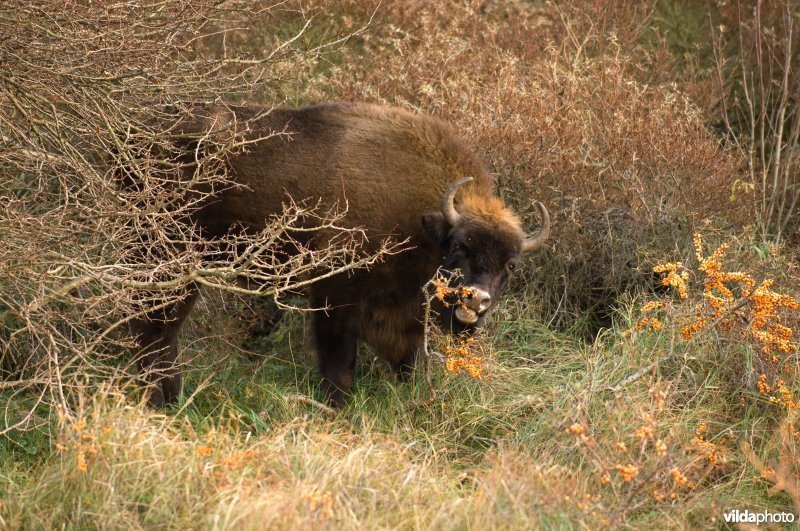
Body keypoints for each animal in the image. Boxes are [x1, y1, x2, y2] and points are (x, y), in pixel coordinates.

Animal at [134, 102, 552, 406]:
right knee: (156, 327)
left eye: (511, 264)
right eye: (460, 246)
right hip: (173, 260)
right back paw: (158, 397)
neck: (421, 222)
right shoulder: (336, 296)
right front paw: (336, 405)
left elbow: (411, 364)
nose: (476, 299)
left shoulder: (402, 316)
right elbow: (339, 363)